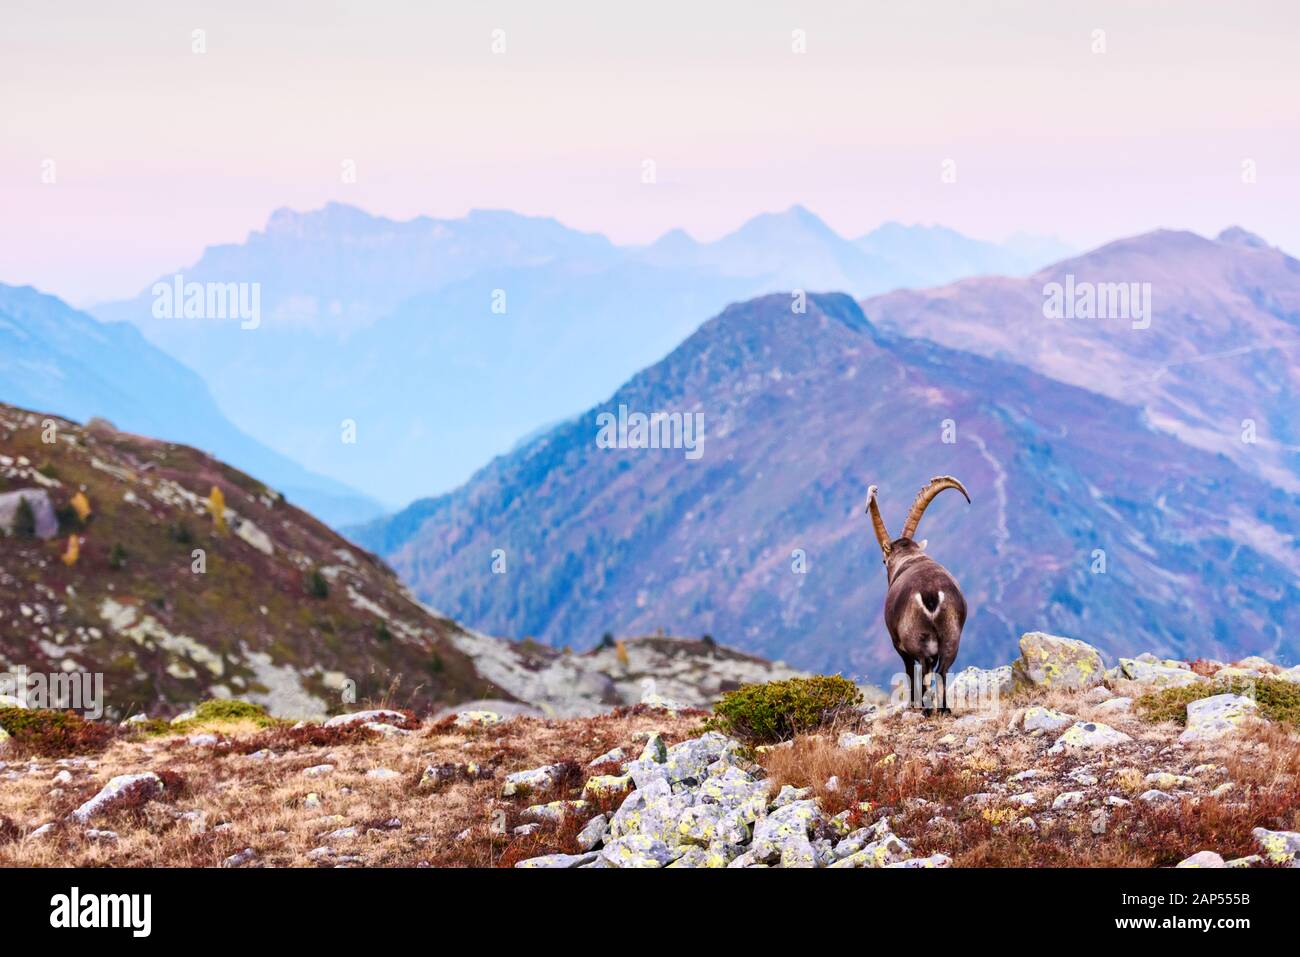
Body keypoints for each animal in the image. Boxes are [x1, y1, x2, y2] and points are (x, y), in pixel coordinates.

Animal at [865, 476, 971, 715]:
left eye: (884, 560)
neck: (910, 557)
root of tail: (931, 594)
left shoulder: (899, 646)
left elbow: (909, 672)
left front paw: (914, 704)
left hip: (916, 638)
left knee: (922, 669)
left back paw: (924, 708)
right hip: (951, 636)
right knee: (942, 670)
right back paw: (943, 709)